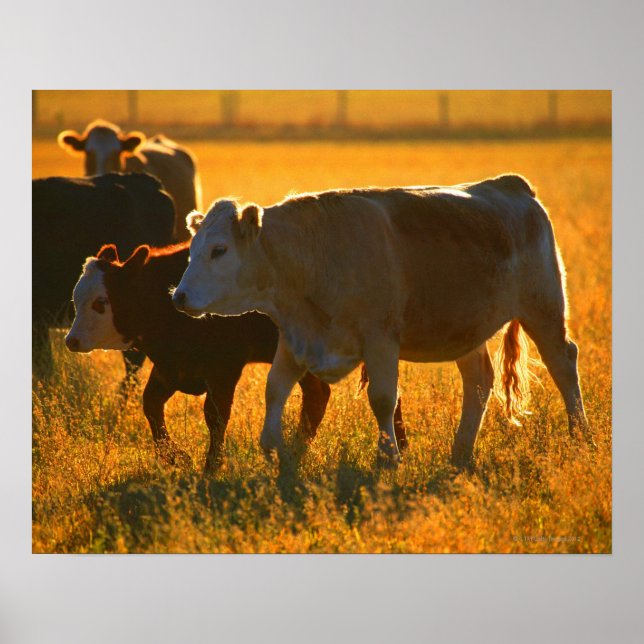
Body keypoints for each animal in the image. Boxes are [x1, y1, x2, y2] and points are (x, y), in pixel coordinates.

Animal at [64, 241, 335, 473]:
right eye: (76, 298)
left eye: (101, 302)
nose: (71, 340)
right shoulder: (171, 367)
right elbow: (151, 404)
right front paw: (175, 456)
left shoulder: (223, 368)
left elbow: (215, 416)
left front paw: (211, 467)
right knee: (317, 394)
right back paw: (294, 453)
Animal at [172, 174, 591, 469]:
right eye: (192, 250)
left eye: (219, 250)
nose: (179, 297)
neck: (314, 252)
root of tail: (513, 186)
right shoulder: (294, 338)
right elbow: (275, 389)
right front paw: (273, 446)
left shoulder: (380, 340)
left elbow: (383, 398)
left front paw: (387, 456)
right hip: (469, 330)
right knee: (478, 382)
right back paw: (460, 452)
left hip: (544, 309)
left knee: (562, 364)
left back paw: (581, 436)